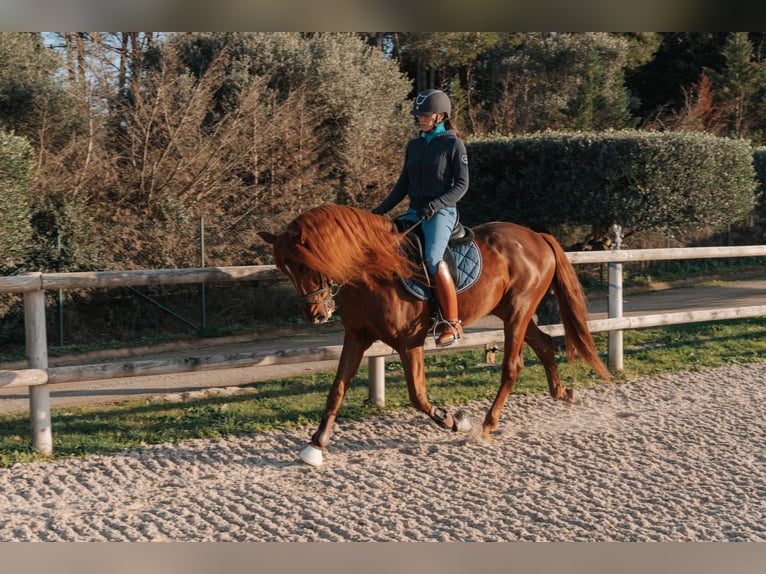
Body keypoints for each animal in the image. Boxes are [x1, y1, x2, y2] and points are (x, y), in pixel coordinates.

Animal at [260, 204, 612, 468]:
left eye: (306, 265)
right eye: (286, 269)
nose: (316, 315)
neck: (372, 272)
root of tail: (536, 236)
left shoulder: (408, 342)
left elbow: (417, 395)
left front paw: (454, 421)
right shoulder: (357, 337)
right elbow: (337, 390)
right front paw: (315, 447)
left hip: (518, 311)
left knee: (512, 365)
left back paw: (486, 426)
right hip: (508, 311)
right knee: (544, 344)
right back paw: (564, 393)